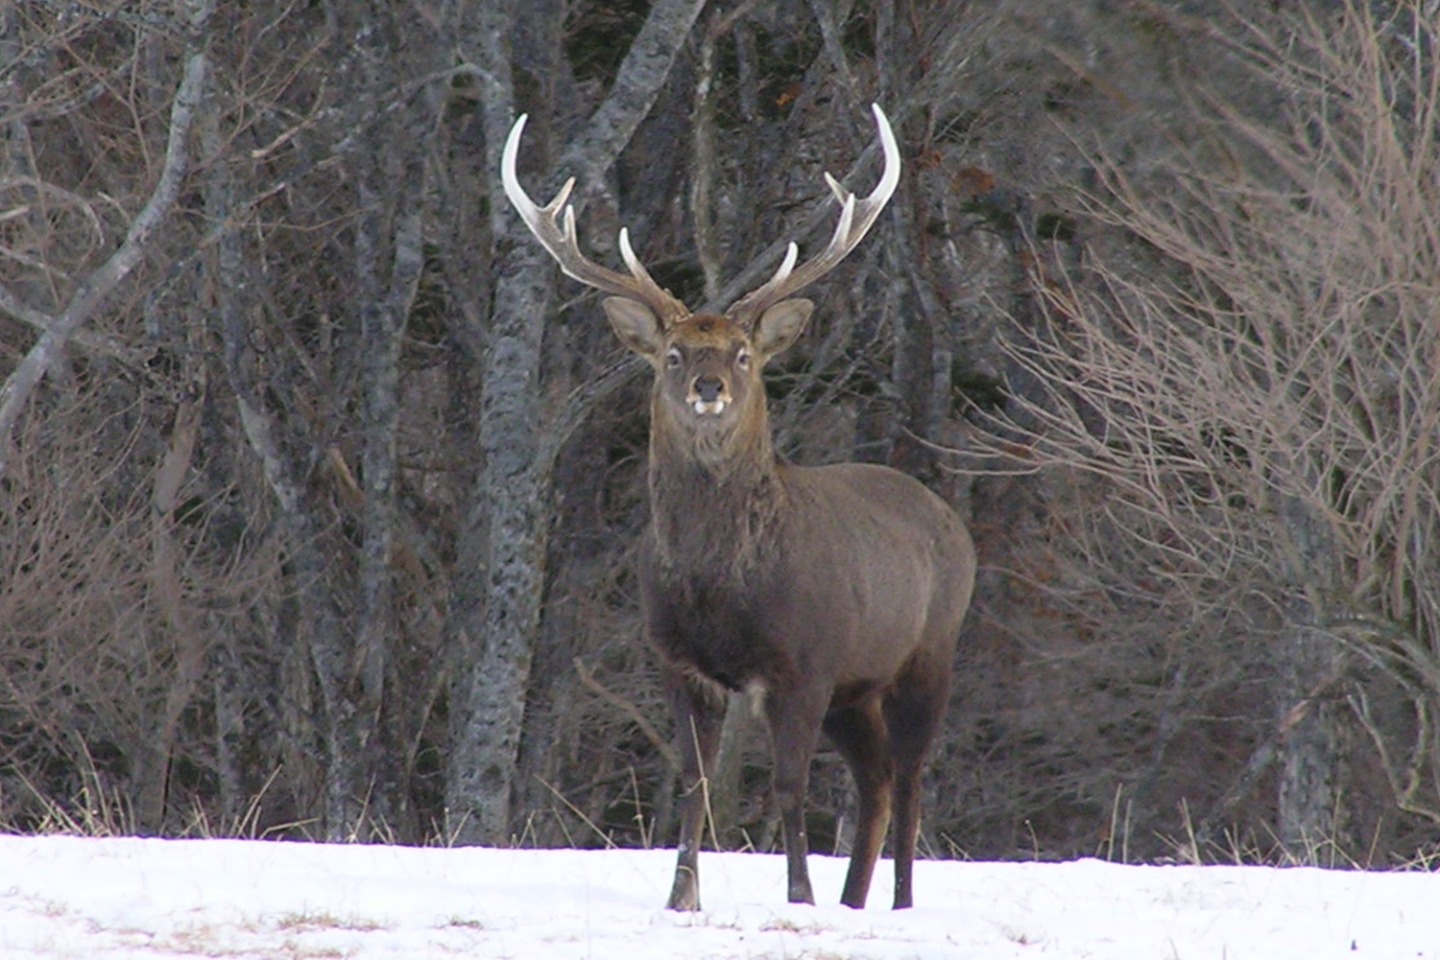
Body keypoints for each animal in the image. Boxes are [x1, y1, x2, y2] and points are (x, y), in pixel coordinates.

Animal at [501, 101, 973, 915]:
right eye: (674, 354)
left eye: (744, 354)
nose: (709, 387)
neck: (721, 585)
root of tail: (953, 523)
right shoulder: (680, 663)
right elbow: (693, 785)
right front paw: (681, 898)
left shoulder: (805, 662)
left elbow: (786, 786)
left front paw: (799, 897)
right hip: (857, 690)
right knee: (877, 779)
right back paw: (854, 901)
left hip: (928, 655)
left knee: (910, 777)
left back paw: (899, 904)